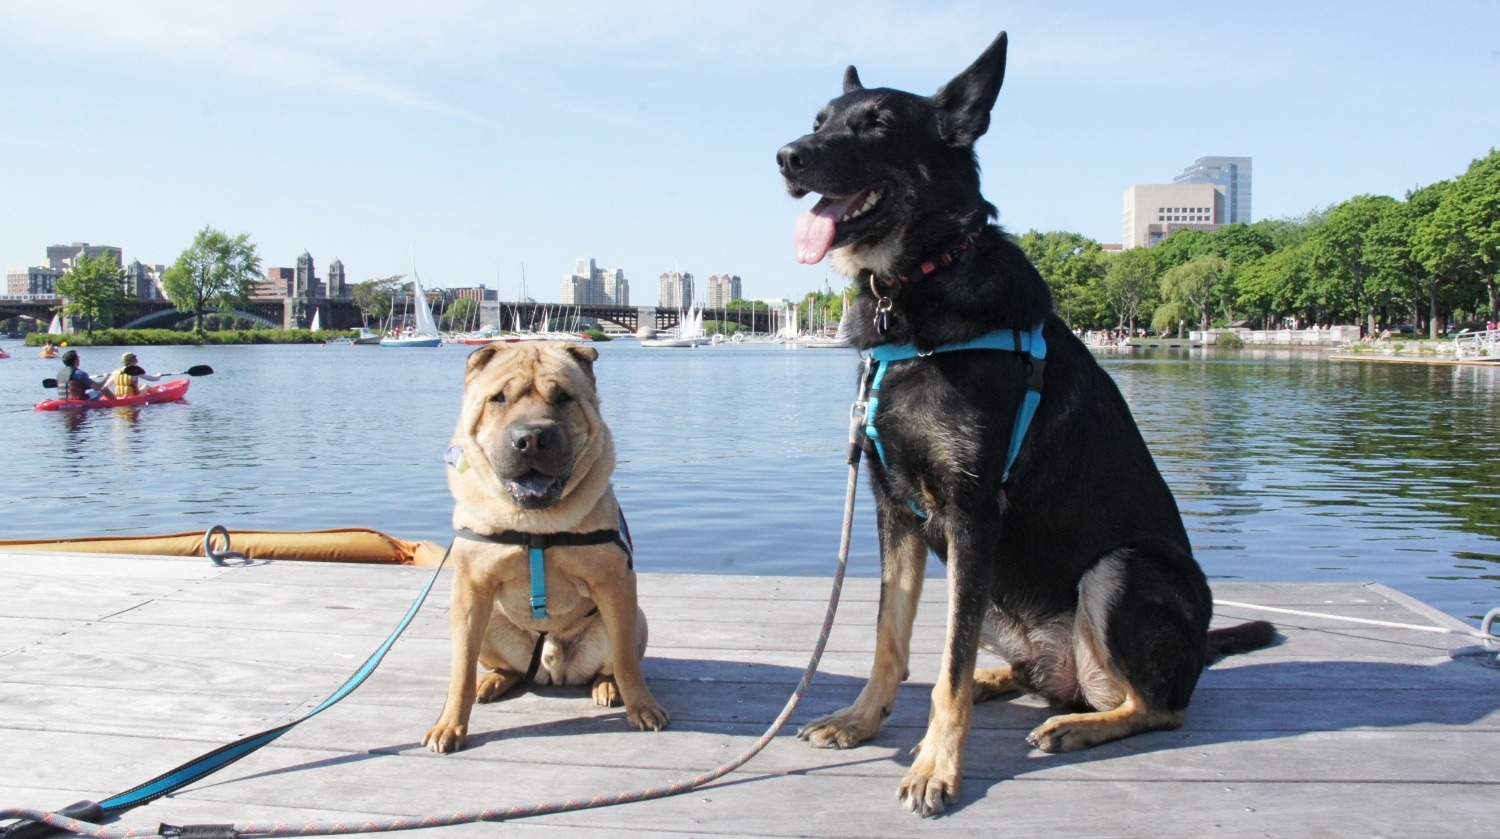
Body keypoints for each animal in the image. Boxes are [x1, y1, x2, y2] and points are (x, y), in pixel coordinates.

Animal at [423, 342, 669, 756]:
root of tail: (551, 669)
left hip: (635, 618)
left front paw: (643, 707)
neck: (536, 526)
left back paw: (607, 687)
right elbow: (461, 669)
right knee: (502, 668)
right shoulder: (471, 589)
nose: (532, 438)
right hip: (489, 623)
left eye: (564, 398)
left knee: (613, 662)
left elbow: (626, 662)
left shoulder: (615, 584)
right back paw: (491, 682)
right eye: (498, 398)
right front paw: (449, 724)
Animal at [780, 31, 1272, 816]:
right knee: (1026, 668)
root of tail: (1198, 651)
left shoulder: (972, 511)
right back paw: (1007, 681)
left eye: (877, 124)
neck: (917, 288)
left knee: (1158, 705)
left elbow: (945, 669)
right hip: (992, 593)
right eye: (820, 119)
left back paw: (1078, 725)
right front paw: (863, 719)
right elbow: (892, 640)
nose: (787, 156)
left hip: (1121, 567)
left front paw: (936, 766)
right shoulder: (898, 513)